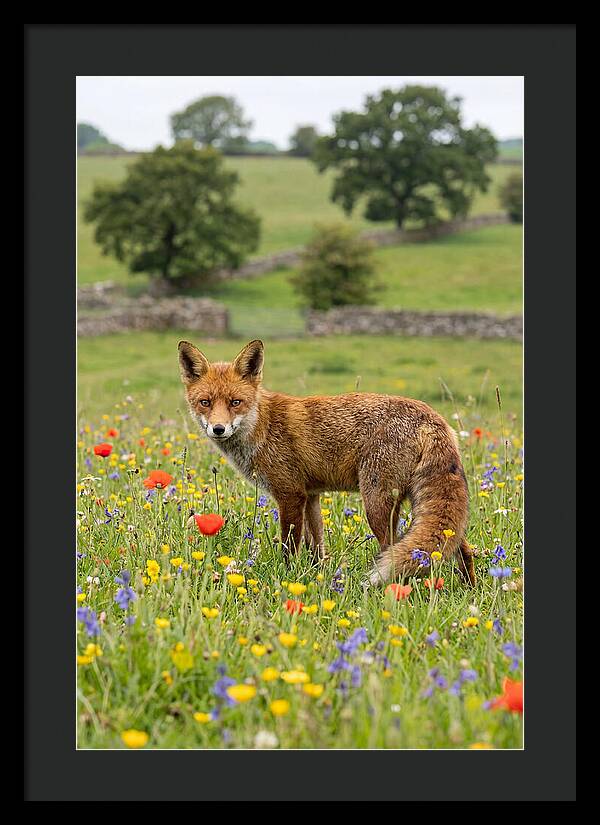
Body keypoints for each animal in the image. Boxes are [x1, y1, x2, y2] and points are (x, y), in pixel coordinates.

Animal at [178, 338, 475, 587]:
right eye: (205, 402)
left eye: (235, 402)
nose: (218, 429)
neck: (262, 426)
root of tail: (432, 417)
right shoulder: (311, 496)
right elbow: (316, 547)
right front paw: (316, 577)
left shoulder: (290, 495)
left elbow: (289, 546)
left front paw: (287, 577)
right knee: (461, 547)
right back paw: (468, 588)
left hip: (377, 503)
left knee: (392, 549)